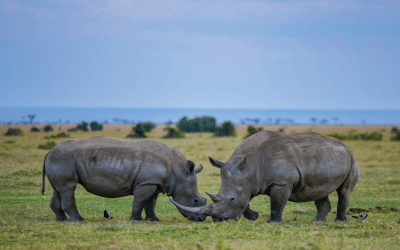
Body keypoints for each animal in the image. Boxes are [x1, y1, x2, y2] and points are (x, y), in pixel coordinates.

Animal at [42, 137, 208, 221]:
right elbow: (140, 201)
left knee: (59, 189)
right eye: (195, 200)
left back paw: (61, 220)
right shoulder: (146, 182)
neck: (179, 172)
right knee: (68, 188)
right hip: (63, 158)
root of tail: (49, 151)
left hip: (60, 159)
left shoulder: (154, 182)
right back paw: (79, 220)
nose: (201, 219)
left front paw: (153, 220)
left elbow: (151, 203)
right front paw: (136, 220)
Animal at [170, 131, 360, 223]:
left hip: (352, 158)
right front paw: (253, 216)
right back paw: (317, 221)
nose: (219, 219)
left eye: (231, 199)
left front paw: (273, 222)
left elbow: (277, 203)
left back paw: (339, 221)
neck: (248, 166)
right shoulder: (249, 181)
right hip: (327, 158)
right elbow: (246, 200)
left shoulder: (282, 182)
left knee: (344, 191)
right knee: (320, 192)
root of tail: (345, 145)